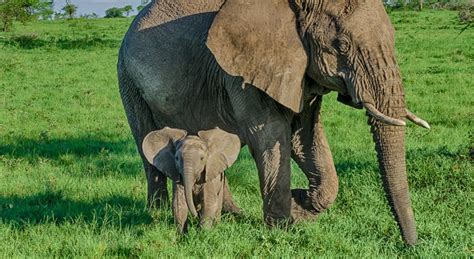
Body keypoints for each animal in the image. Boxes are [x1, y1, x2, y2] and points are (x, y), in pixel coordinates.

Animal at [117, 0, 430, 245]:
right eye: (341, 45)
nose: (411, 244)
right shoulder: (242, 71)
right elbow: (270, 136)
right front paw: (283, 227)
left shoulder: (299, 72)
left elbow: (304, 136)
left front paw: (299, 208)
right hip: (128, 80)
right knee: (147, 146)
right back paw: (156, 215)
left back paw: (234, 215)